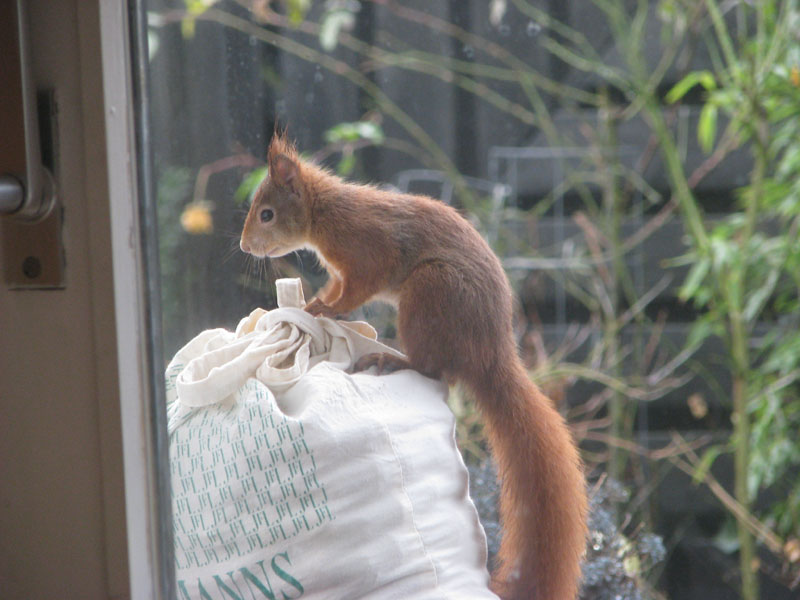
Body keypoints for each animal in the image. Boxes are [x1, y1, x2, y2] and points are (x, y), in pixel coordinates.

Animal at [240, 132, 588, 600]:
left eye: (267, 214)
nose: (245, 246)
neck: (326, 213)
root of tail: (491, 355)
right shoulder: (341, 270)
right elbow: (336, 288)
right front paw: (317, 303)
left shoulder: (368, 251)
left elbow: (356, 289)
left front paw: (322, 310)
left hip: (430, 291)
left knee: (433, 369)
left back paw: (390, 357)